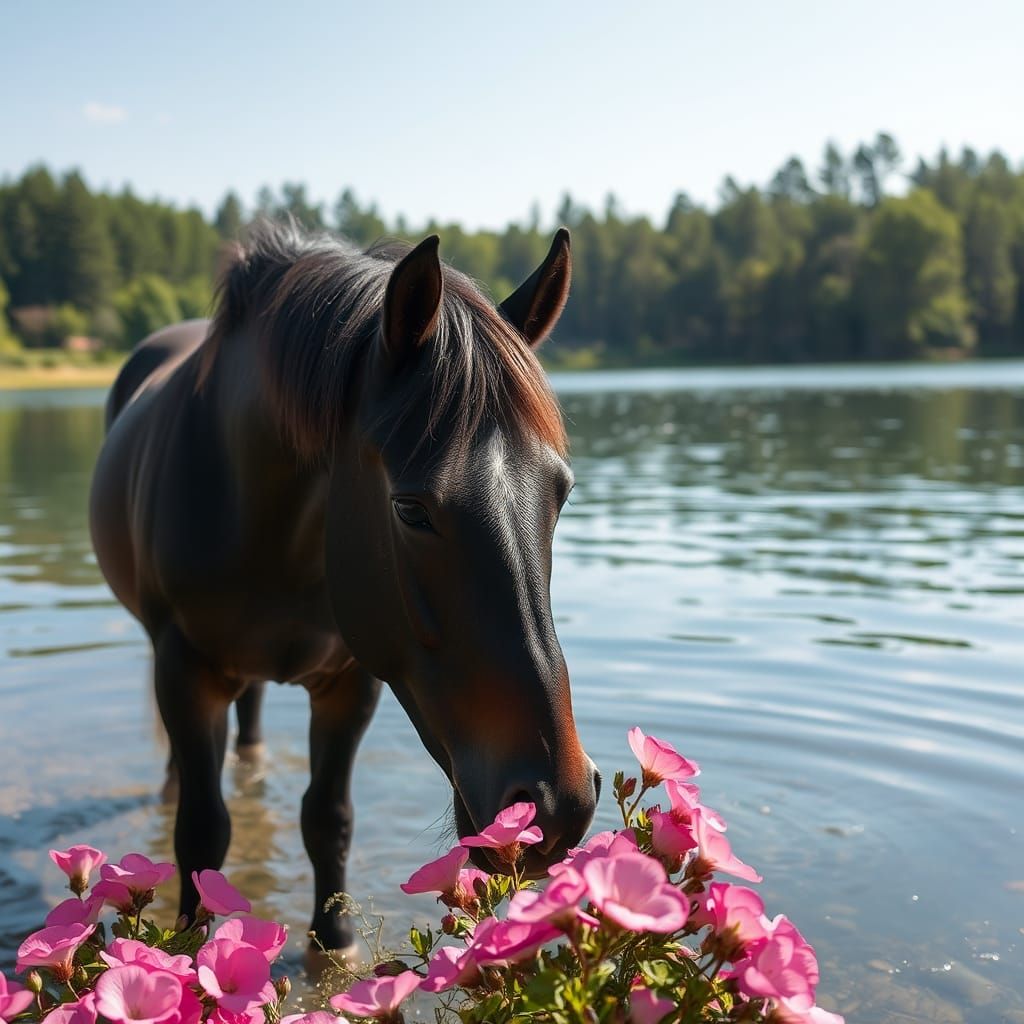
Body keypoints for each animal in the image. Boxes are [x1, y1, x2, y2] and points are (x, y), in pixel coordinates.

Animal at [89, 223, 599, 960]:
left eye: (560, 492)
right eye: (411, 509)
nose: (557, 804)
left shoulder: (351, 679)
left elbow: (327, 817)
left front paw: (334, 944)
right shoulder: (185, 668)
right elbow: (202, 833)